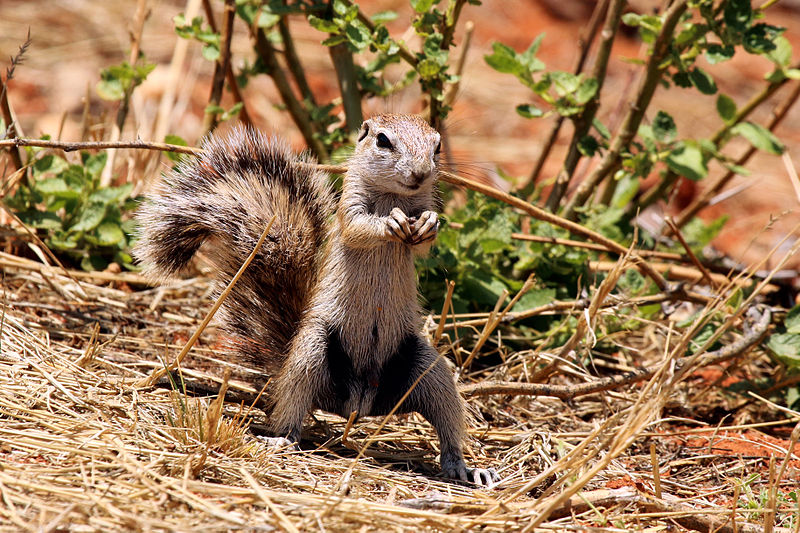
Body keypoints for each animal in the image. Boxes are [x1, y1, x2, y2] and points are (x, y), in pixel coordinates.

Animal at [138, 113, 500, 486]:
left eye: (437, 146)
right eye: (383, 141)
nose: (420, 174)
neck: (393, 195)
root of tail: (358, 403)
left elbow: (426, 243)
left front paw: (429, 224)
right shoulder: (350, 208)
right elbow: (359, 227)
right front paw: (390, 222)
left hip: (429, 368)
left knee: (447, 424)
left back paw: (465, 468)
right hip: (311, 354)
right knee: (292, 411)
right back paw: (282, 439)